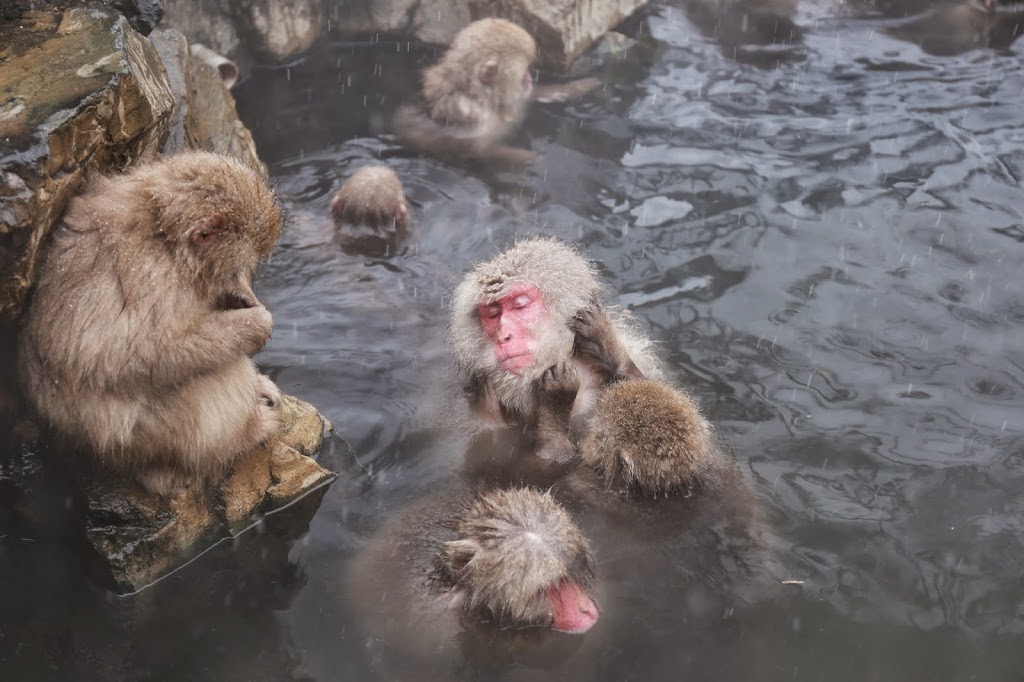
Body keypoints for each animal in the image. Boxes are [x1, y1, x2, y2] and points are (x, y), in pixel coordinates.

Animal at [16, 151, 286, 497]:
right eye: (238, 264)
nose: (236, 283)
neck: (162, 230)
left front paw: (240, 297)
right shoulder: (153, 274)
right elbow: (130, 356)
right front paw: (255, 323)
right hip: (141, 438)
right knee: (215, 374)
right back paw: (247, 432)